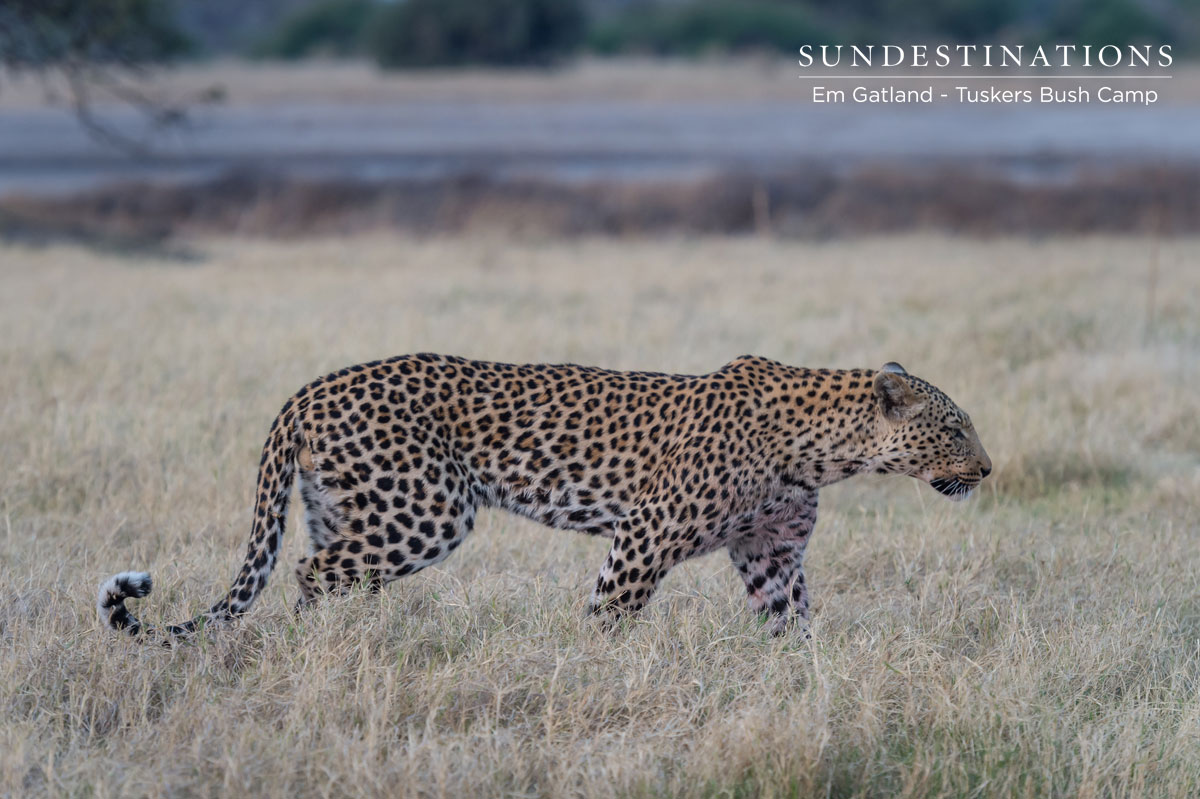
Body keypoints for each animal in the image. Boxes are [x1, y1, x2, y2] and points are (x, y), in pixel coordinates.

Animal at [98, 354, 991, 640]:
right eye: (955, 428)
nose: (986, 471)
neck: (826, 452)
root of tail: (307, 389)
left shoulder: (771, 554)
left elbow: (793, 626)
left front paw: (806, 685)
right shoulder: (644, 537)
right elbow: (607, 615)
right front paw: (596, 674)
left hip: (350, 508)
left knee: (322, 572)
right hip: (424, 511)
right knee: (313, 573)